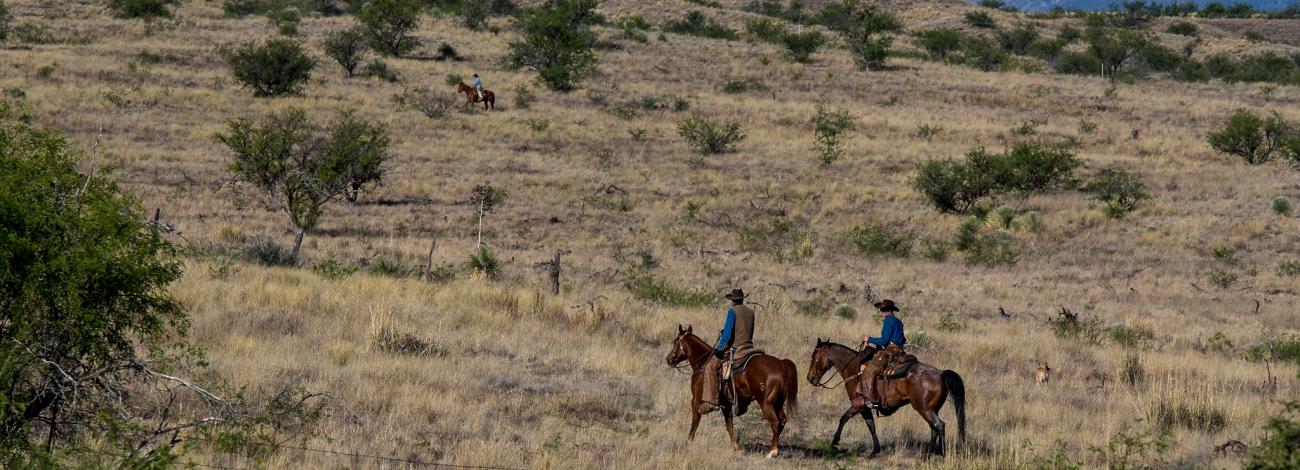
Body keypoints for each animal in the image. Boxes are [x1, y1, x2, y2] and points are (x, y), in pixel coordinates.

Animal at [665, 324, 795, 457]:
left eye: (675, 341)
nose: (669, 359)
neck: (702, 364)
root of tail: (781, 363)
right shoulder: (726, 404)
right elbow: (729, 425)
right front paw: (735, 447)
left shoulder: (696, 400)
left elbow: (695, 422)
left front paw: (689, 442)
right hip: (777, 403)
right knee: (782, 420)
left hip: (766, 404)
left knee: (775, 423)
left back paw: (771, 452)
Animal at [800, 340, 967, 457]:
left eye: (814, 357)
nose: (810, 378)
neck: (855, 369)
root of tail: (940, 374)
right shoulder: (866, 407)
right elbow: (871, 426)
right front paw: (875, 451)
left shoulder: (858, 404)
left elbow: (844, 418)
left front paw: (834, 442)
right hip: (931, 409)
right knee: (934, 428)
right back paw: (928, 454)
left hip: (924, 409)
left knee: (939, 425)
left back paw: (941, 453)